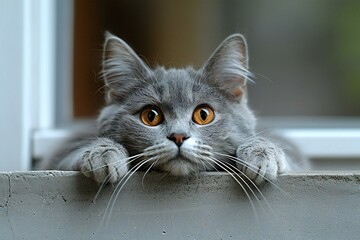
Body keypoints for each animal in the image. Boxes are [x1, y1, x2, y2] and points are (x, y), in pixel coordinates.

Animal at [43, 31, 290, 186]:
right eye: (150, 116)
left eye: (204, 114)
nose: (178, 136)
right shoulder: (59, 158)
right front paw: (104, 155)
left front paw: (261, 155)